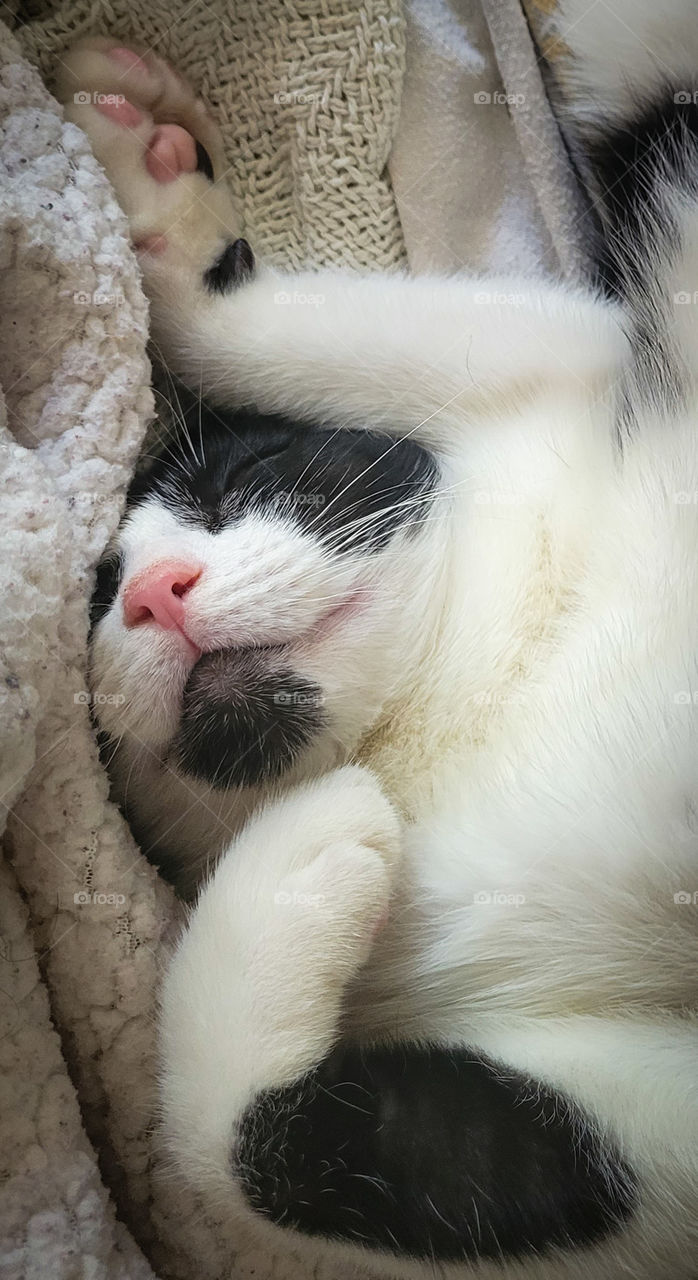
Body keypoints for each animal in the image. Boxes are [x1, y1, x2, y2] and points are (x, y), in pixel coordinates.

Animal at [58, 2, 696, 1269]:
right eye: (97, 601)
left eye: (233, 484)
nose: (155, 591)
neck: (454, 721)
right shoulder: (630, 1117)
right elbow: (251, 1148)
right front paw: (299, 850)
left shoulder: (562, 369)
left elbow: (322, 335)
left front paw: (155, 195)